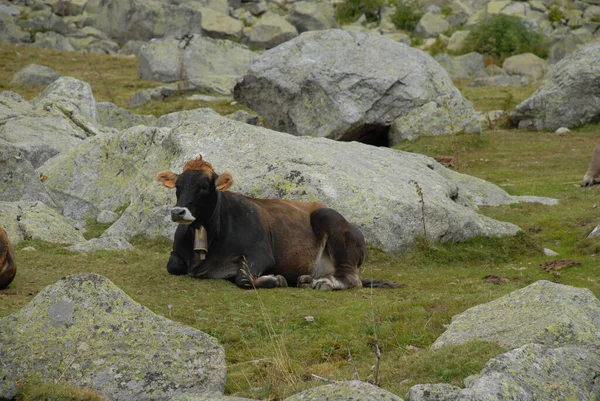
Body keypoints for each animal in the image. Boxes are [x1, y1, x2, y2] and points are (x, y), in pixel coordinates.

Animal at [156, 155, 394, 290]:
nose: (178, 211)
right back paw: (306, 280)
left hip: (329, 221)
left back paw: (324, 283)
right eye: (178, 186)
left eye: (204, 186)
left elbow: (244, 278)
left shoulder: (261, 254)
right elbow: (173, 266)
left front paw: (275, 279)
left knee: (351, 278)